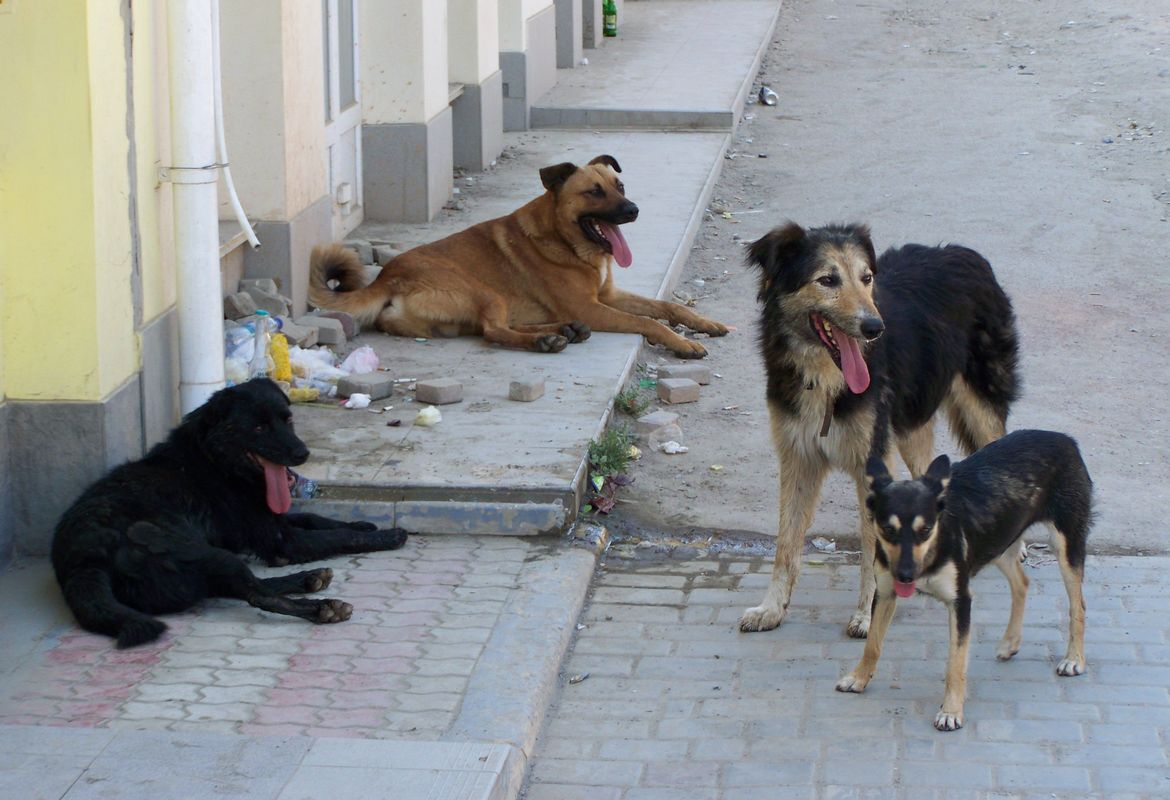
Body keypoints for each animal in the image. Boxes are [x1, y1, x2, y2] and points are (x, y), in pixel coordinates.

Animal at [53, 378, 411, 645]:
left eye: (288, 419)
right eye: (258, 428)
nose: (302, 453)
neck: (216, 461)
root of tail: (84, 560)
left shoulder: (269, 522)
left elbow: (315, 518)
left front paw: (363, 524)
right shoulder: (282, 540)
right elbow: (337, 537)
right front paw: (387, 535)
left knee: (244, 586)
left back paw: (310, 579)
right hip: (201, 552)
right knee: (257, 594)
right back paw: (322, 607)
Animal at [306, 154, 725, 357]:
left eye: (619, 186)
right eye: (594, 192)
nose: (634, 210)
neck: (565, 240)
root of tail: (386, 277)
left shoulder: (606, 297)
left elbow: (668, 307)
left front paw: (704, 323)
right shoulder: (593, 307)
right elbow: (650, 322)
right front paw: (682, 342)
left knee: (494, 328)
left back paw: (562, 331)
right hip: (484, 291)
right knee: (494, 331)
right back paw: (549, 340)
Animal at [744, 222, 1020, 640]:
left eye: (866, 278)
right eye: (827, 280)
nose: (874, 328)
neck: (825, 378)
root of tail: (963, 253)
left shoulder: (871, 461)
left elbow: (871, 548)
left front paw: (867, 615)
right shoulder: (798, 457)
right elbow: (786, 545)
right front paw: (772, 608)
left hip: (980, 406)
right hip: (909, 426)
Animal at [837, 430, 1090, 729]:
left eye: (926, 529)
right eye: (888, 529)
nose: (906, 575)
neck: (932, 552)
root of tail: (1064, 438)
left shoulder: (961, 602)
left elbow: (955, 663)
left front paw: (951, 711)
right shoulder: (886, 593)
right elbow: (872, 645)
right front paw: (859, 678)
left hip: (1065, 545)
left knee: (1078, 605)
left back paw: (1074, 659)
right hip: (999, 542)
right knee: (1022, 583)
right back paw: (1010, 642)